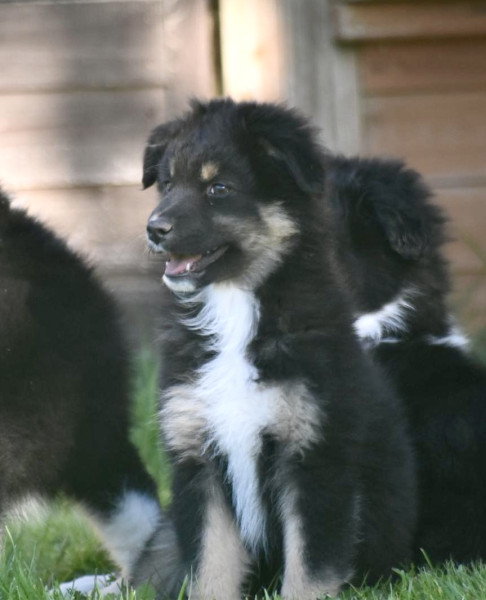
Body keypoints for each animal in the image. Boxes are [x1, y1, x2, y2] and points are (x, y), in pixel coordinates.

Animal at [136, 99, 416, 599]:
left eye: (219, 188)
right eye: (166, 184)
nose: (154, 228)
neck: (235, 312)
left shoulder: (315, 458)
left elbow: (309, 570)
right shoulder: (198, 461)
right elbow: (209, 570)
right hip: (166, 536)